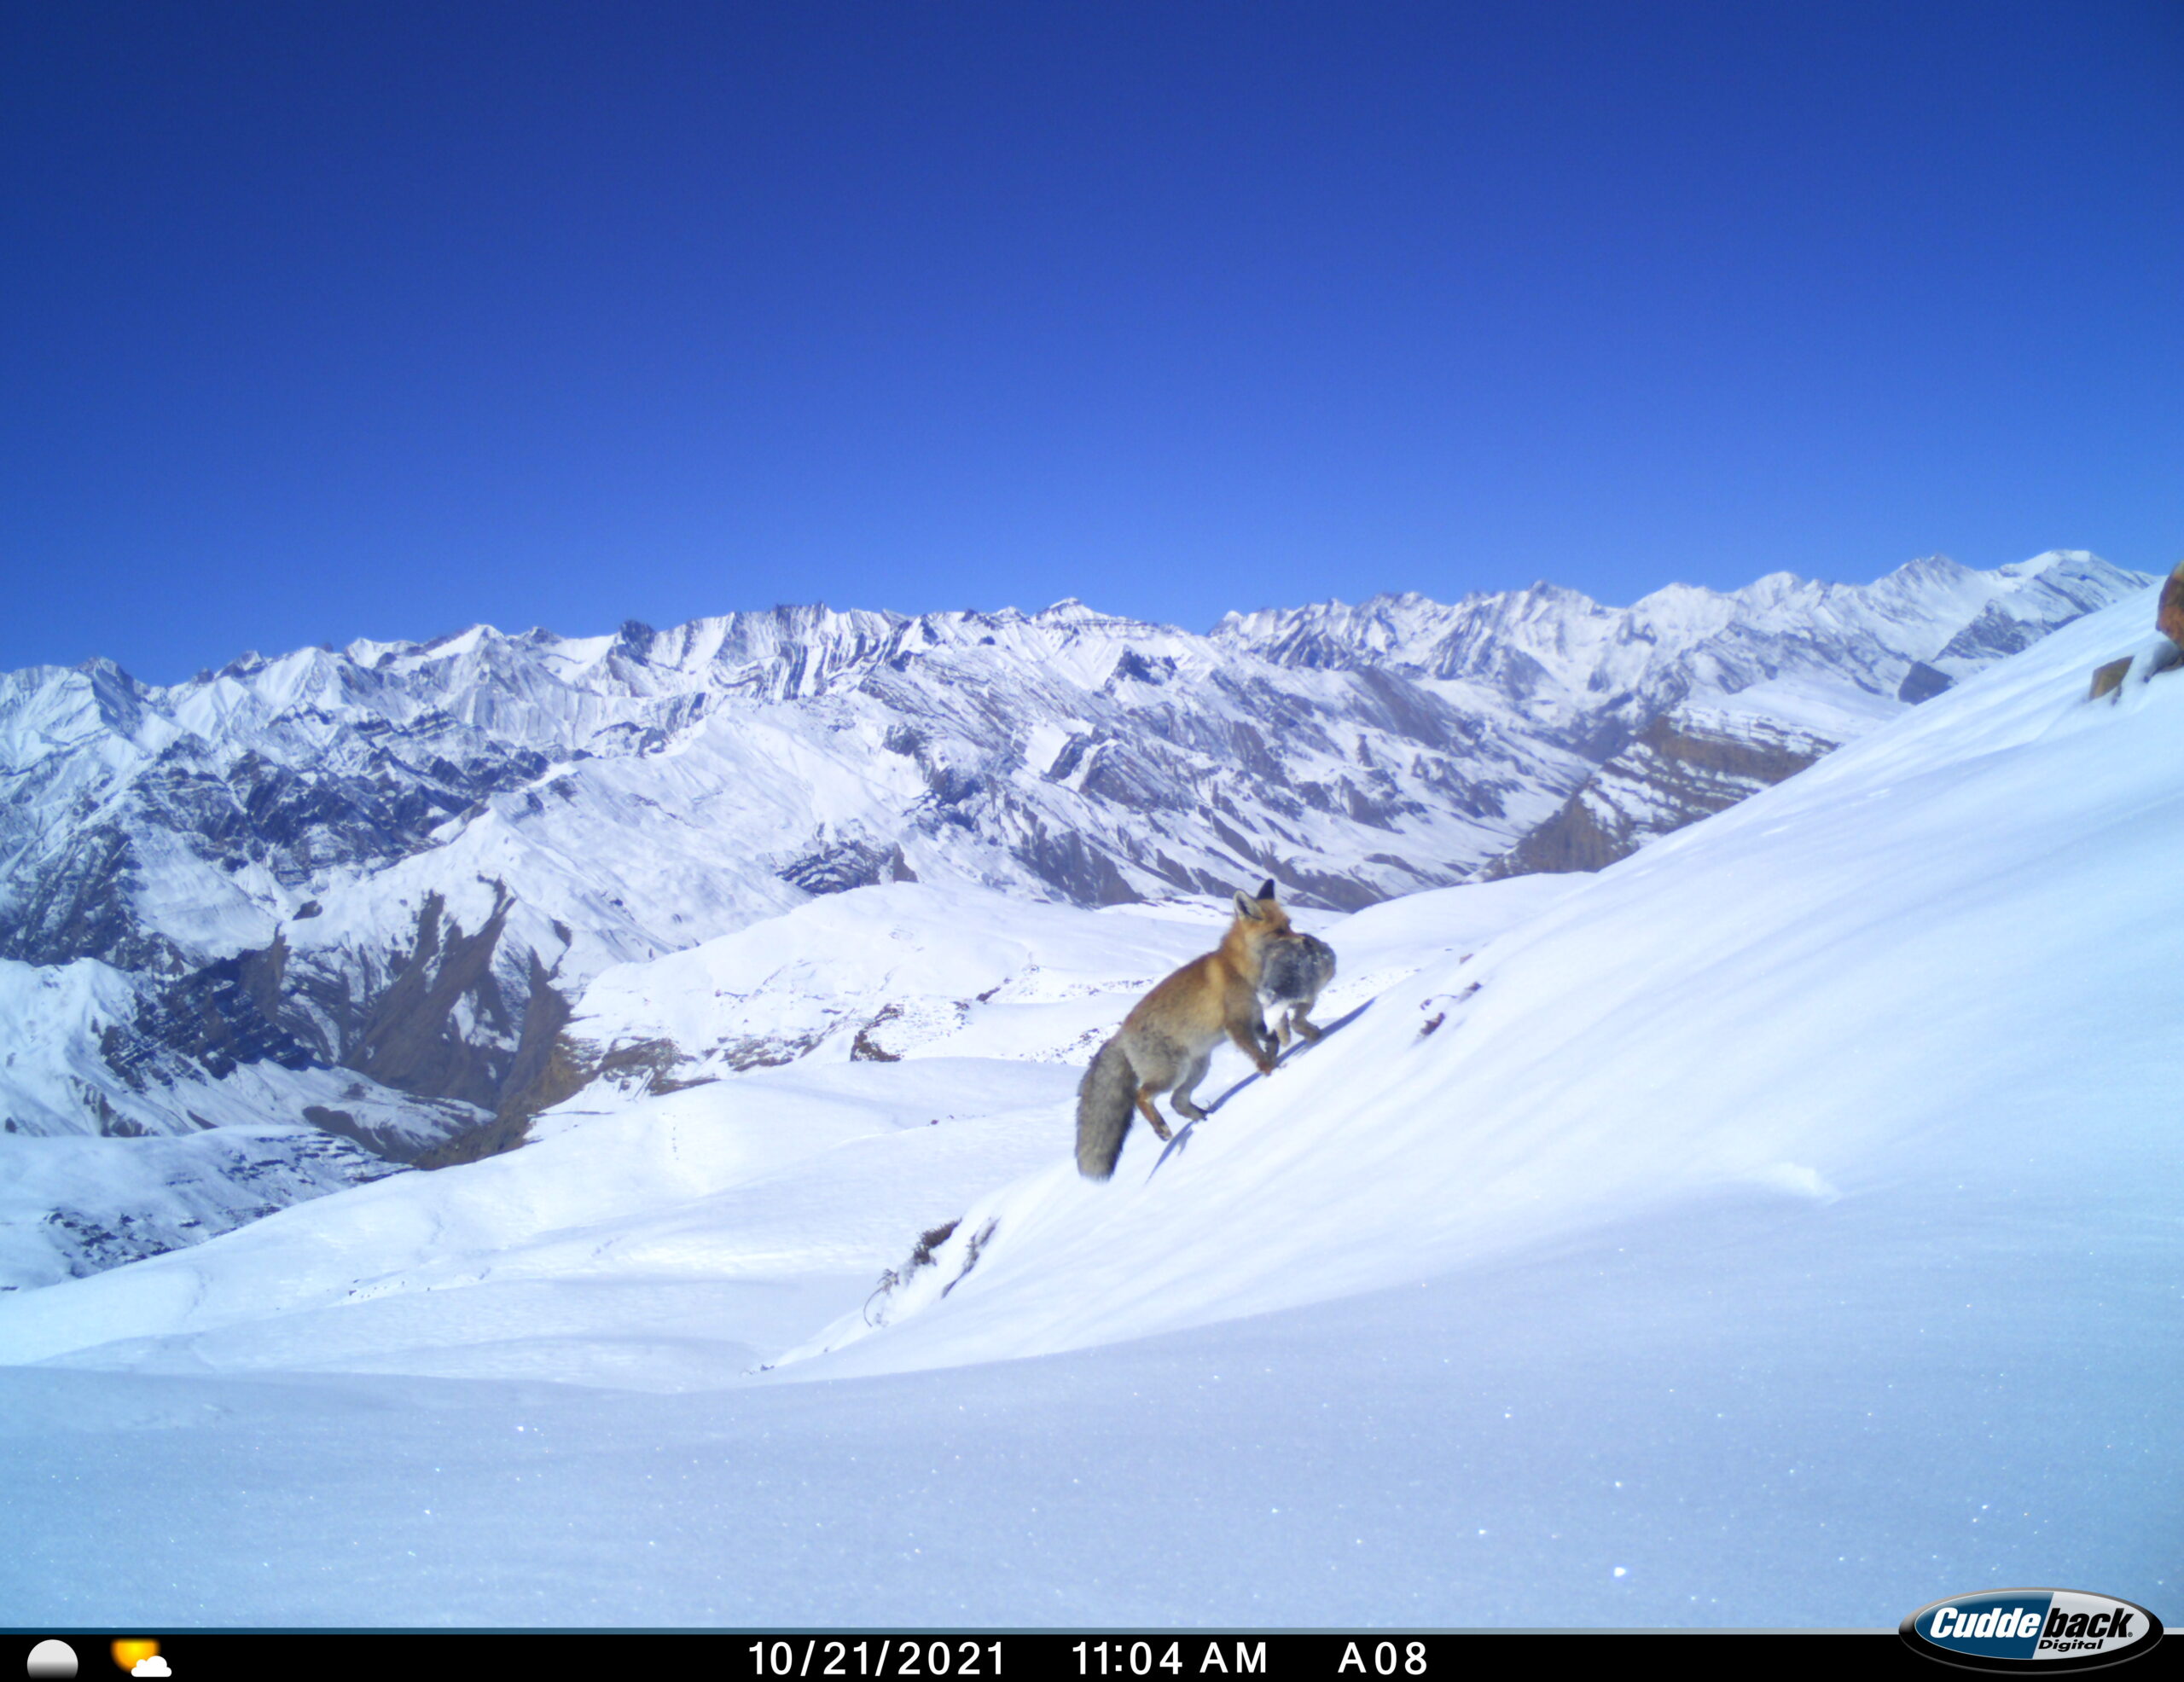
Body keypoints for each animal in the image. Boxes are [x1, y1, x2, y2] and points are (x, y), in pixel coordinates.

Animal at [1075, 879, 1310, 1179]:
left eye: (1289, 924)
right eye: (1280, 931)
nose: (1305, 941)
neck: (1240, 968)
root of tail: (1119, 1034)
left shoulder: (1254, 1019)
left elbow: (1273, 1041)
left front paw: (1276, 1055)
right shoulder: (1237, 1025)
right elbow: (1258, 1056)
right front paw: (1273, 1073)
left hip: (1198, 1068)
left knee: (1178, 1101)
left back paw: (1206, 1119)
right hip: (1171, 1073)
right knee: (1142, 1096)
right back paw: (1163, 1129)